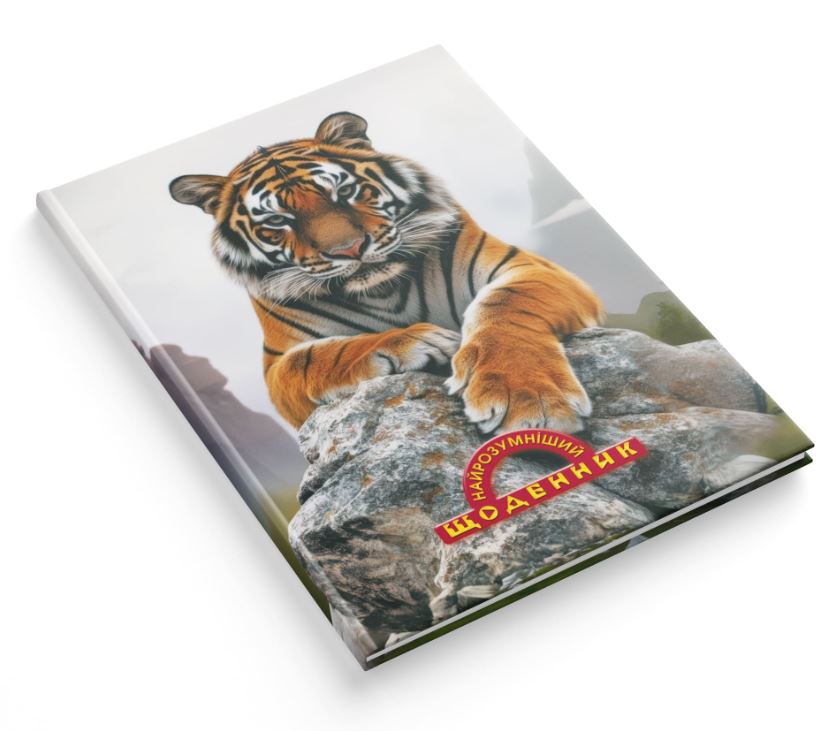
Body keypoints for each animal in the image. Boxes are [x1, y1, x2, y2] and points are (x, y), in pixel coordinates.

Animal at [170, 112, 603, 434]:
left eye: (343, 193)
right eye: (278, 220)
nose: (348, 250)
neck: (384, 291)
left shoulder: (528, 267)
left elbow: (505, 304)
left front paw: (529, 401)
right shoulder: (276, 365)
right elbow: (318, 356)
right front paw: (416, 341)